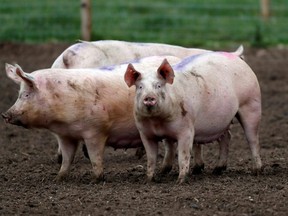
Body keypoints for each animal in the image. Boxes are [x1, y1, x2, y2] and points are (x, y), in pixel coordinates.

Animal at [2, 54, 181, 181]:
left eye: (26, 94)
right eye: (19, 94)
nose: (5, 115)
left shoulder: (95, 131)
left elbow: (95, 157)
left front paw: (96, 179)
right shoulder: (65, 136)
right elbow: (67, 159)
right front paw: (58, 178)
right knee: (170, 144)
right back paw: (164, 170)